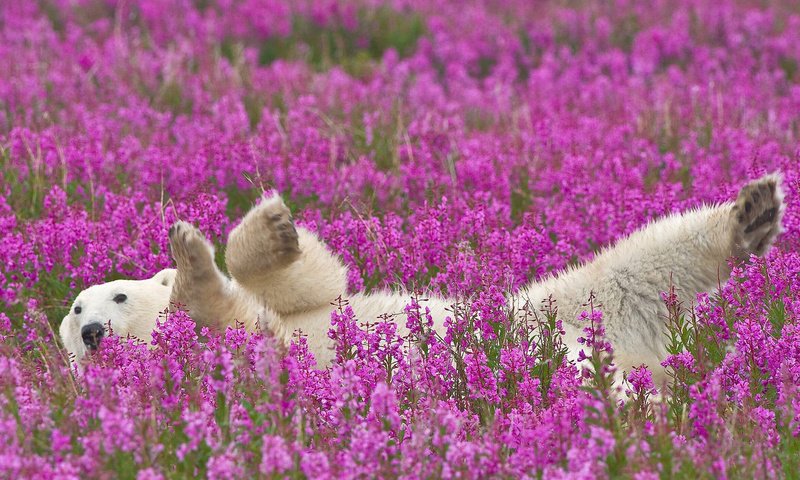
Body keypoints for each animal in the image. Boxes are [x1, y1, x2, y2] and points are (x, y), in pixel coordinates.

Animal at [59, 175, 784, 386]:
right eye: (74, 312)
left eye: (112, 294)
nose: (92, 332)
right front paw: (191, 265)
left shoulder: (298, 309)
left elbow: (315, 282)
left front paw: (262, 229)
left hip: (556, 307)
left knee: (639, 263)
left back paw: (752, 213)